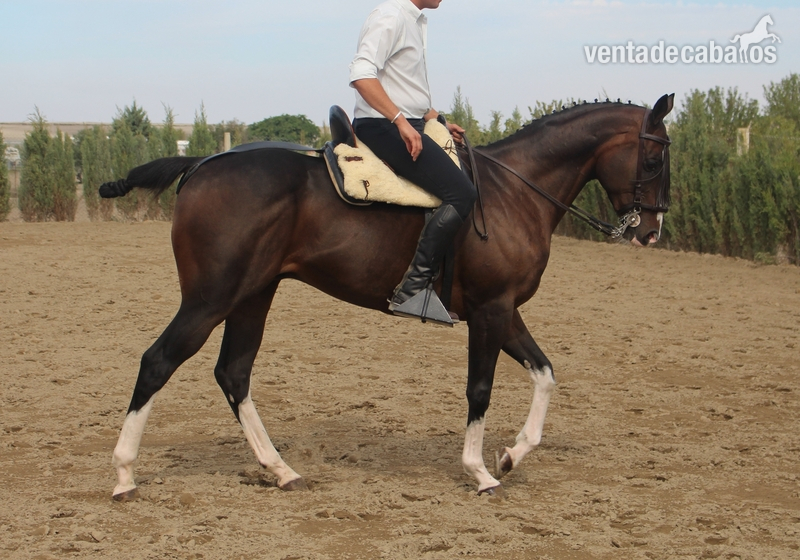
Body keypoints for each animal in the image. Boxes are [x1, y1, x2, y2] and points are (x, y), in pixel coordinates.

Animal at [101, 94, 674, 500]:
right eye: (652, 158)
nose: (651, 232)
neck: (517, 192)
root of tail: (202, 164)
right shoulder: (490, 311)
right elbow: (480, 390)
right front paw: (480, 472)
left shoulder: (504, 311)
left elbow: (546, 374)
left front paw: (512, 455)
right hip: (211, 298)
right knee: (158, 362)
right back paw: (125, 475)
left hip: (252, 296)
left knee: (233, 373)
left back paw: (281, 470)